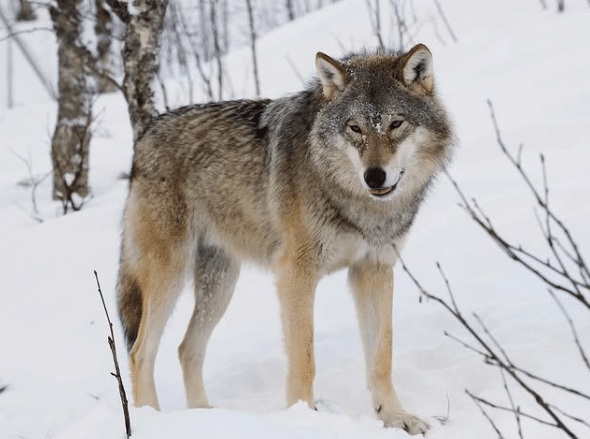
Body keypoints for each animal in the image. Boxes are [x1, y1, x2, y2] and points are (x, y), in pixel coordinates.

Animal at [118, 43, 456, 436]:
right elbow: (304, 358)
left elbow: (381, 357)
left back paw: (207, 418)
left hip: (220, 285)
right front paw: (304, 418)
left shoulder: (373, 270)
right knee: (140, 352)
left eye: (396, 124)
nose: (374, 176)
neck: (357, 204)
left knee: (187, 349)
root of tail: (145, 134)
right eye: (355, 128)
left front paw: (395, 417)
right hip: (168, 277)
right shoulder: (295, 273)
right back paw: (151, 420)